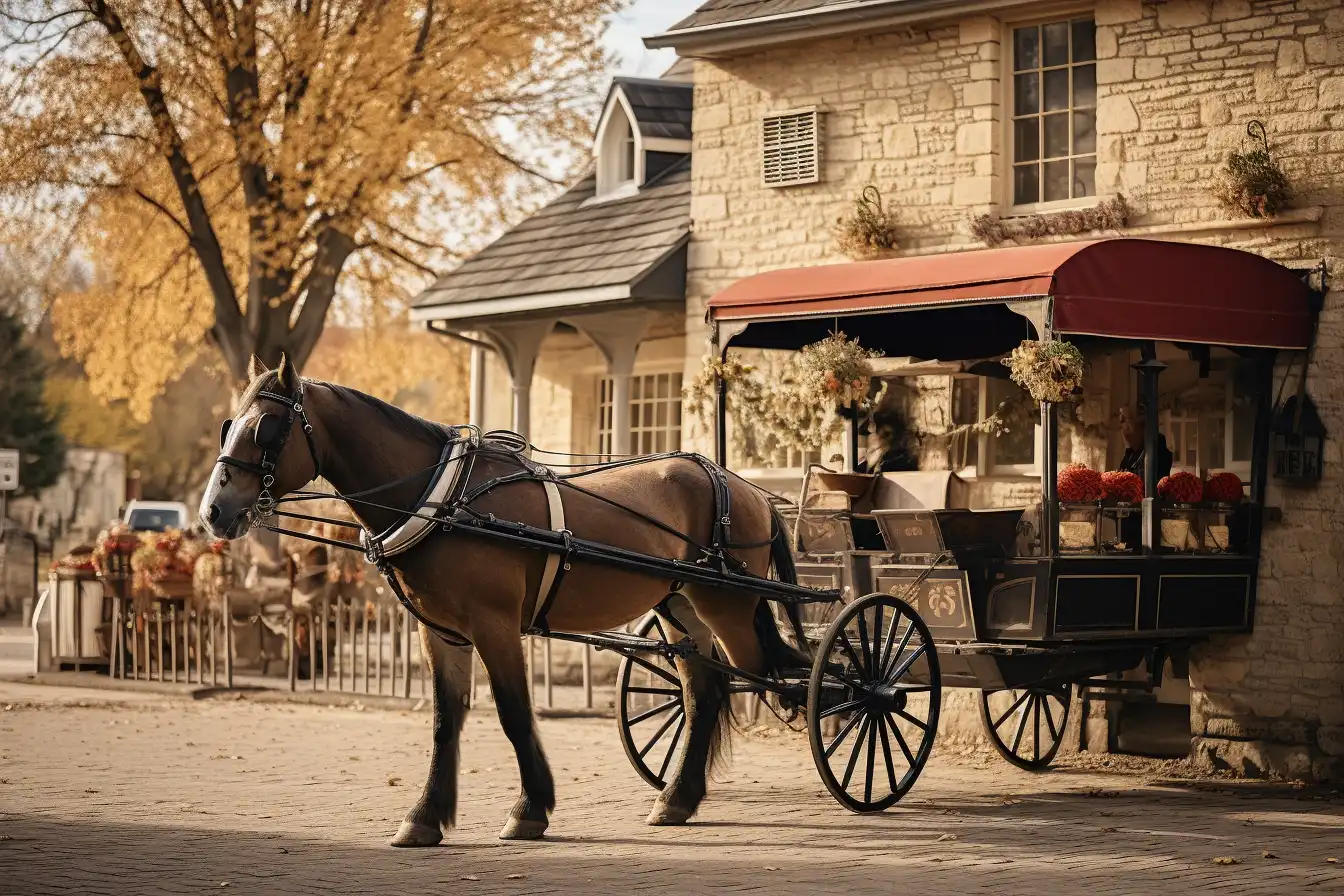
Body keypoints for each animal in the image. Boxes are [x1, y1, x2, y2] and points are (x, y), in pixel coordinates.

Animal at [200, 354, 806, 848]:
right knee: (705, 692)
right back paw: (677, 798)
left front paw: (529, 809)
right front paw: (424, 817)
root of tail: (742, 485)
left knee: (778, 675)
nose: (213, 511)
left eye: (266, 429)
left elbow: (514, 713)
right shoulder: (440, 633)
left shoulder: (494, 626)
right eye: (230, 426)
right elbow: (445, 721)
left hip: (727, 608)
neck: (442, 500)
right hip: (680, 610)